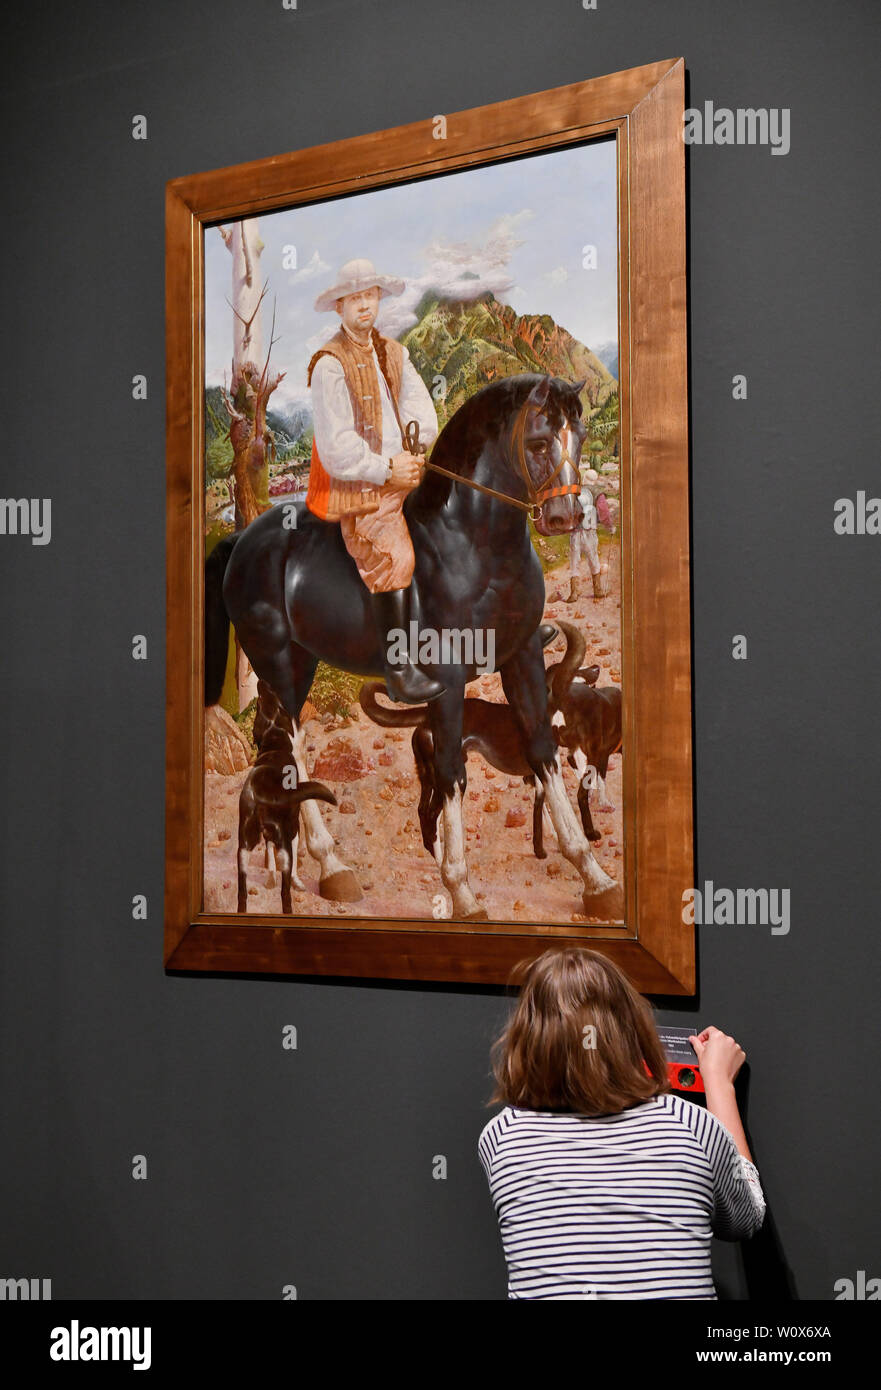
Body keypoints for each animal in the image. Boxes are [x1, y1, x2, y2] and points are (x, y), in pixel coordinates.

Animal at [205, 369, 616, 917]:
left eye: (582, 436)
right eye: (538, 441)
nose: (564, 517)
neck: (475, 545)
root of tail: (246, 538)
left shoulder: (523, 656)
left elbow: (542, 752)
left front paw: (593, 875)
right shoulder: (447, 682)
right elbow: (451, 773)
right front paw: (461, 889)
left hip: (299, 662)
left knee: (273, 740)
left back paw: (282, 865)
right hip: (278, 662)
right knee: (288, 741)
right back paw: (330, 865)